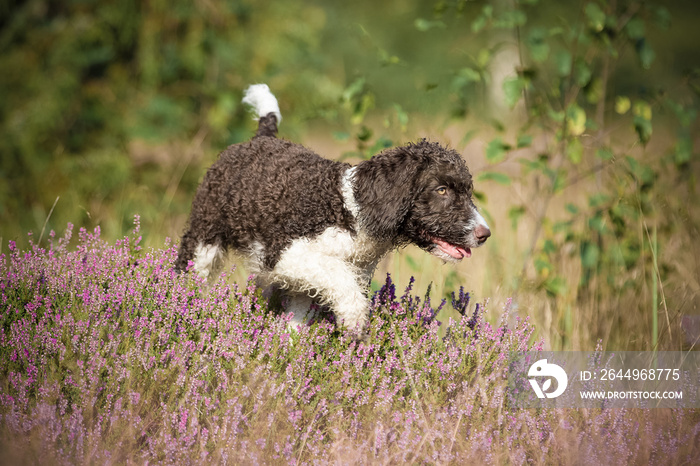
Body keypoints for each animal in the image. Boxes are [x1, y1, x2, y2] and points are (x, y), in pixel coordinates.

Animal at [176, 83, 492, 334]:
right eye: (441, 190)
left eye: (468, 191)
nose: (485, 234)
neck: (352, 209)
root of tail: (262, 136)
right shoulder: (284, 254)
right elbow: (342, 280)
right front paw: (354, 323)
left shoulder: (311, 279)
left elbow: (299, 319)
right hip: (204, 239)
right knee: (189, 274)